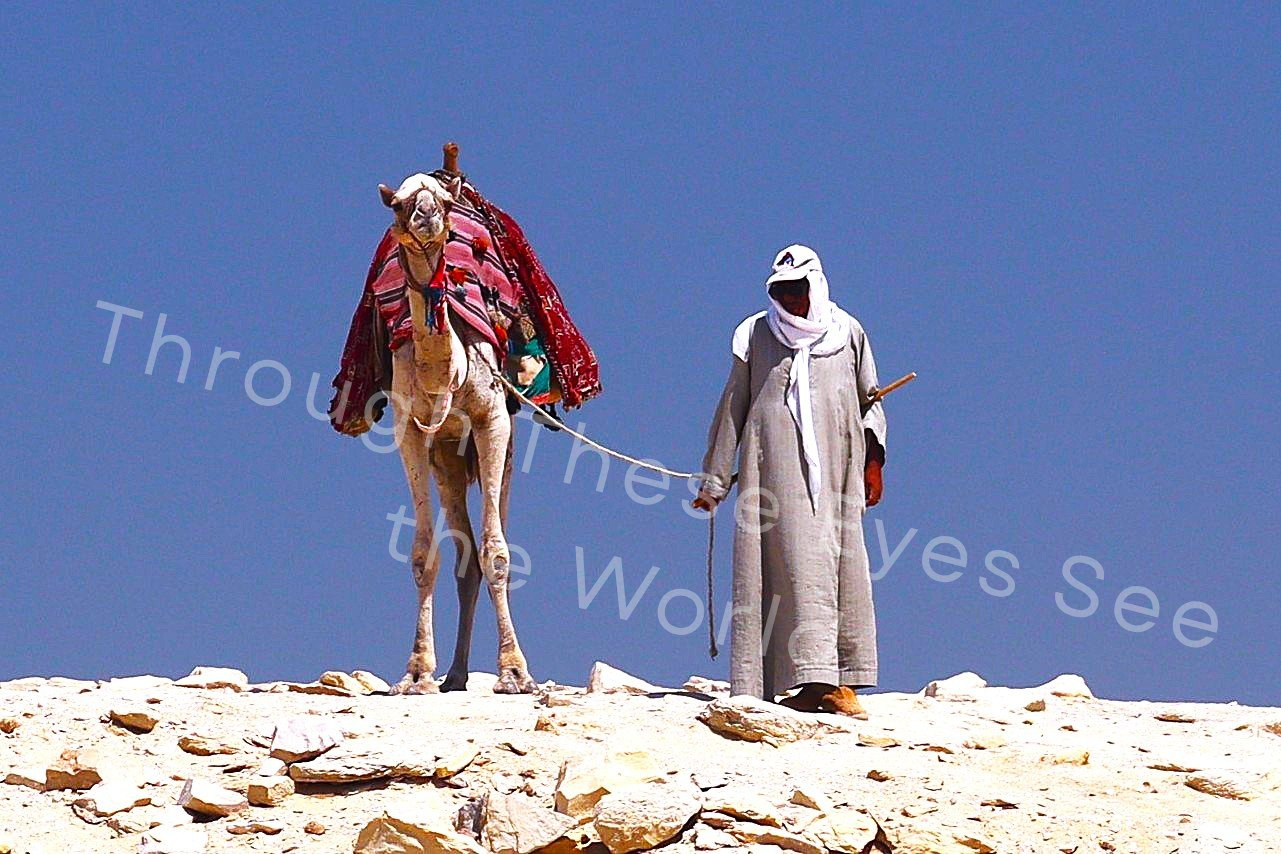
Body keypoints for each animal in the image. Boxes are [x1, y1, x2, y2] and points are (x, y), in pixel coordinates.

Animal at [375, 160, 537, 696]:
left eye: (444, 204)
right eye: (398, 204)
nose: (426, 215)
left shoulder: (491, 421)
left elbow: (498, 552)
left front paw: (515, 673)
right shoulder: (408, 431)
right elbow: (424, 555)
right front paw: (416, 672)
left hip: (504, 449)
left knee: (490, 541)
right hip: (445, 456)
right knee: (465, 559)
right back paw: (457, 674)